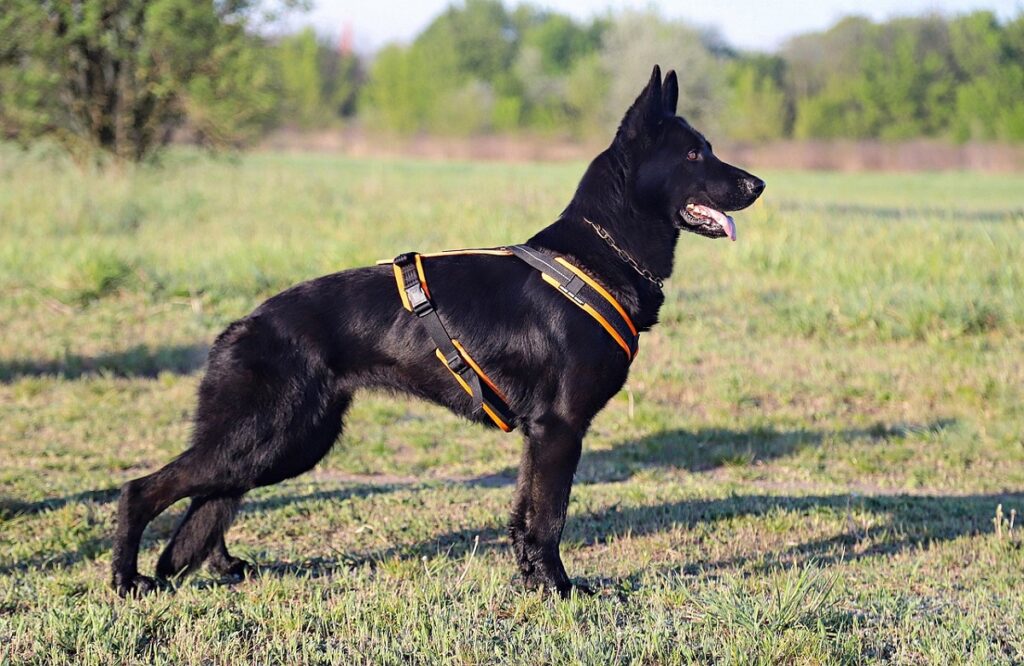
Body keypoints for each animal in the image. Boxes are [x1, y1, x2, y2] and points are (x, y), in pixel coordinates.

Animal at [114, 67, 761, 598]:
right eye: (696, 154)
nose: (758, 185)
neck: (600, 254)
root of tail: (240, 326)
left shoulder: (540, 437)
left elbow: (525, 519)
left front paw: (533, 584)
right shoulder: (559, 430)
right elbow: (549, 518)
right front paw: (560, 590)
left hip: (283, 444)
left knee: (210, 499)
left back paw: (217, 568)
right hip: (268, 437)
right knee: (144, 490)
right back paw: (127, 580)